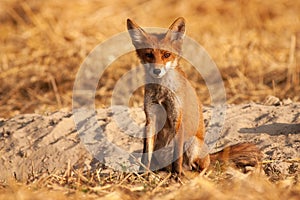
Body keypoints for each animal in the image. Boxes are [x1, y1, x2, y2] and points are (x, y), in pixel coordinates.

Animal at [125, 17, 262, 174]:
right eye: (149, 55)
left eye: (166, 55)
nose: (157, 71)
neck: (162, 93)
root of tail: (209, 155)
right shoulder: (150, 119)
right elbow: (145, 154)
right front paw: (142, 174)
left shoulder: (178, 119)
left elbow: (177, 158)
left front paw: (176, 176)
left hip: (193, 143)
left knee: (201, 167)